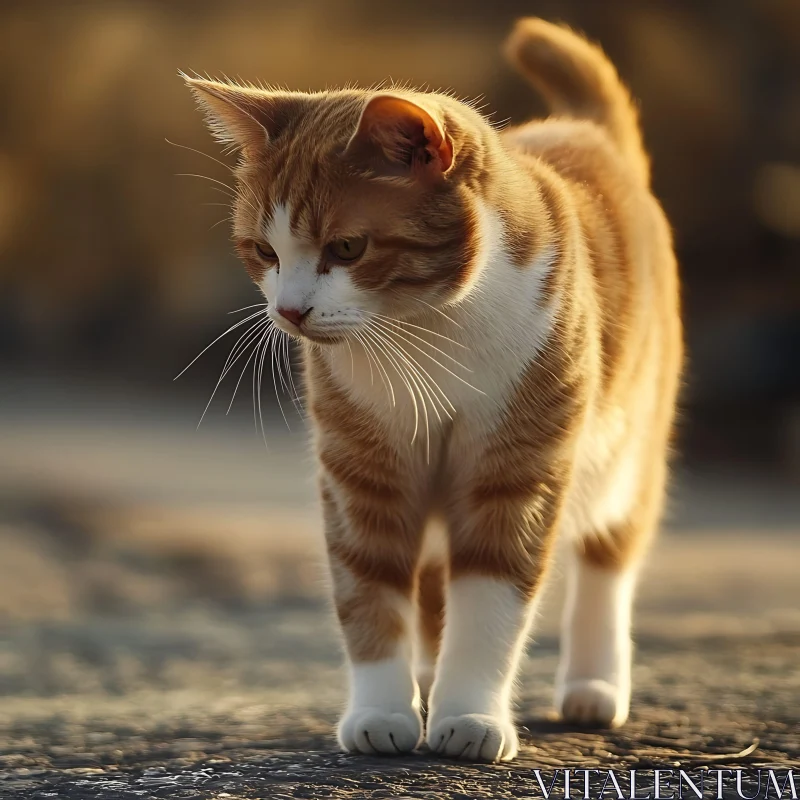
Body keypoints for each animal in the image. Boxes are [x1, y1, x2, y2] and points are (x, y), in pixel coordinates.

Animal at [186, 18, 680, 764]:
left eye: (349, 249)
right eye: (265, 253)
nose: (291, 312)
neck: (423, 334)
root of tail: (586, 129)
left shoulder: (515, 475)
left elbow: (490, 605)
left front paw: (471, 715)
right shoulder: (365, 472)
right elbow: (369, 590)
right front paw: (382, 712)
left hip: (623, 455)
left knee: (607, 561)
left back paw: (593, 684)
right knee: (428, 585)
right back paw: (424, 677)